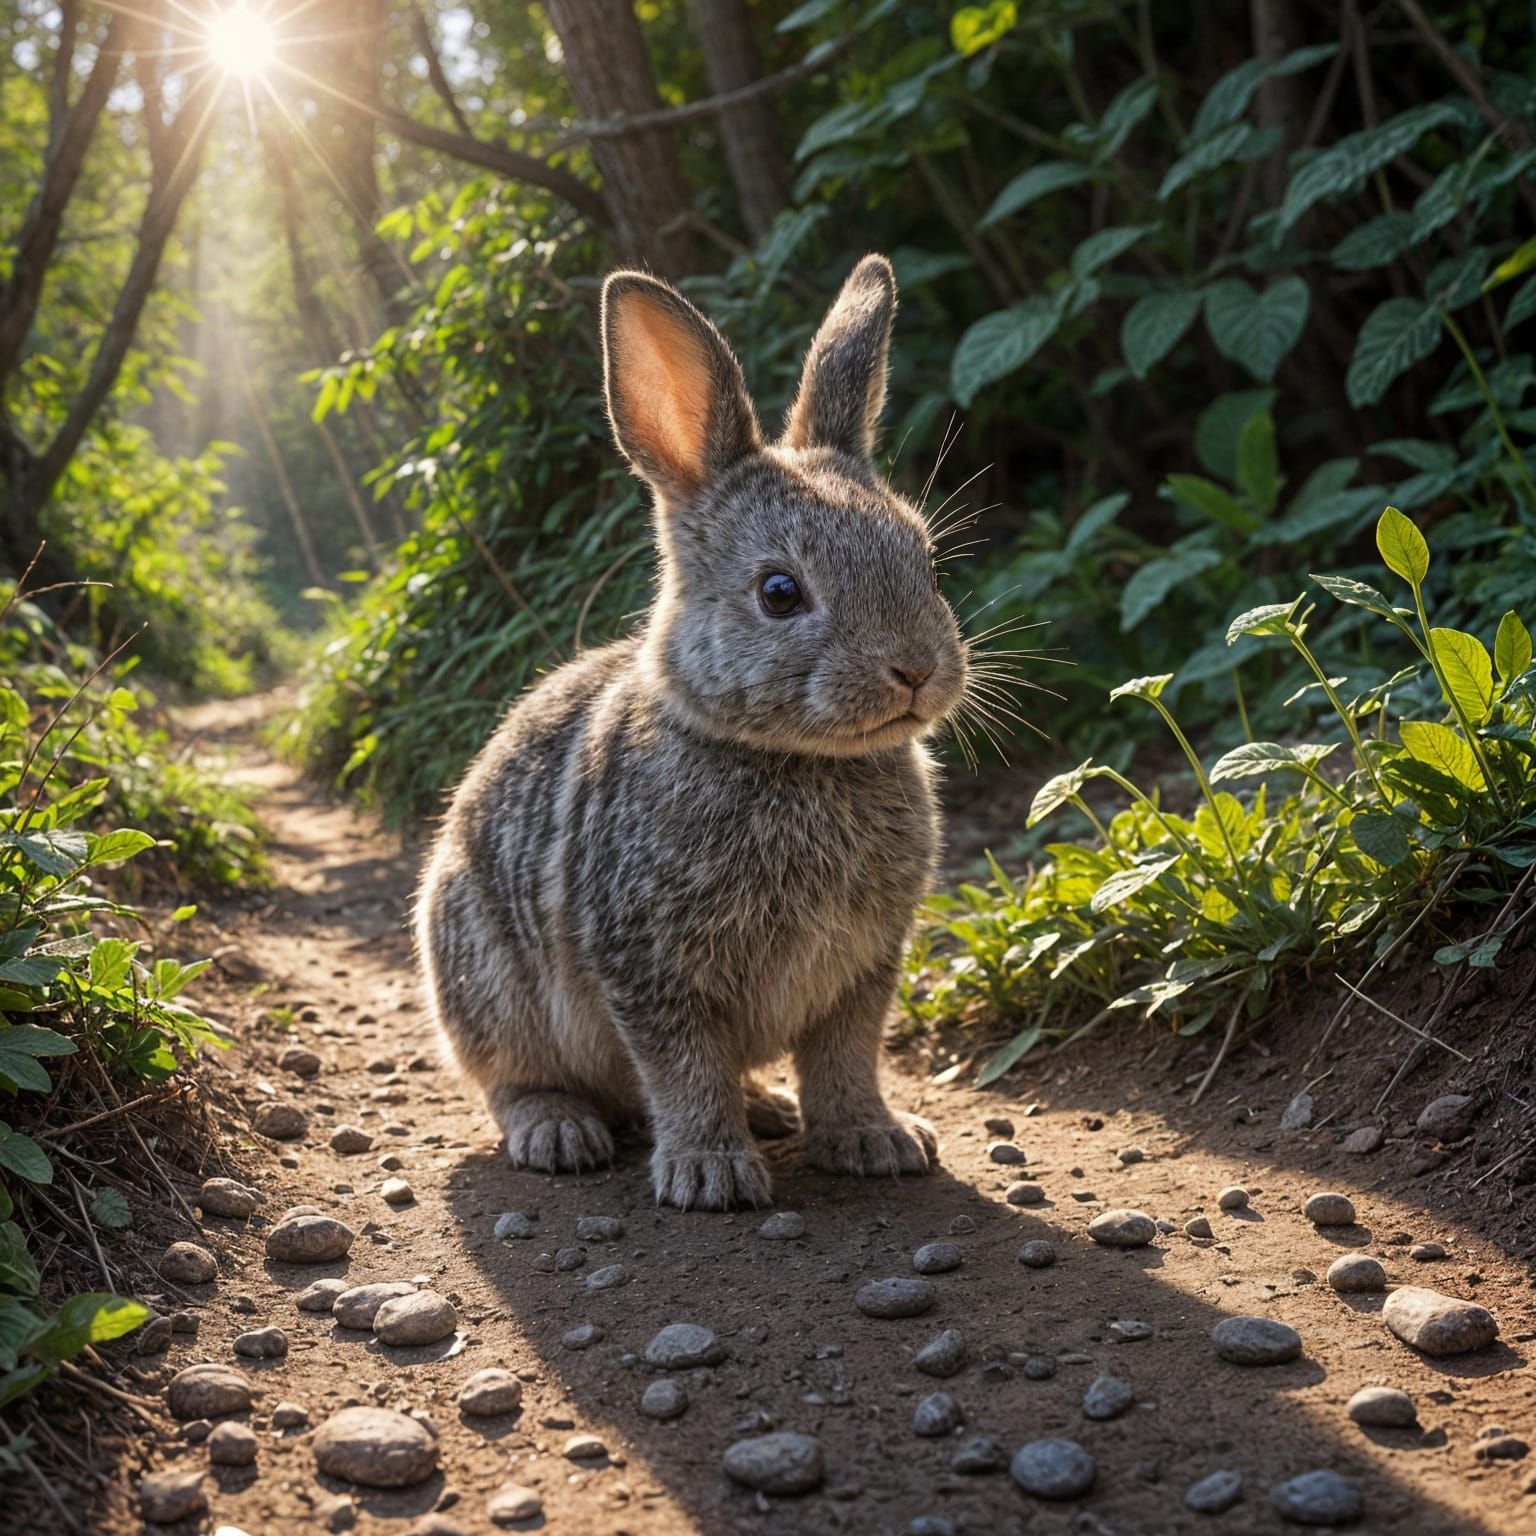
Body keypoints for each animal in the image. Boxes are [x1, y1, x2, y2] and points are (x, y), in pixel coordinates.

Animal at [415, 254, 969, 1210]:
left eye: (924, 559)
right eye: (779, 593)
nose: (916, 669)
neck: (790, 757)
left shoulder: (862, 971)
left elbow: (846, 1060)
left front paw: (875, 1140)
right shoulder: (650, 966)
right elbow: (683, 1069)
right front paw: (712, 1173)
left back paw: (770, 1110)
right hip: (483, 975)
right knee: (509, 1078)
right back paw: (559, 1131)